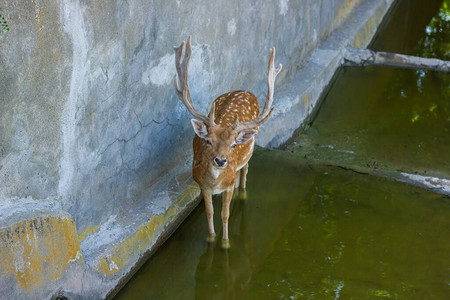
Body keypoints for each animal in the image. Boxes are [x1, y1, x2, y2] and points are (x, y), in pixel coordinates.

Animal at [173, 36, 282, 248]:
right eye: (207, 141)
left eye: (233, 144)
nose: (221, 160)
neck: (216, 182)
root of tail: (245, 90)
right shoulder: (202, 185)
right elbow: (209, 212)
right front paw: (210, 238)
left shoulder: (228, 185)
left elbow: (225, 214)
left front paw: (225, 243)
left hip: (250, 151)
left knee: (245, 170)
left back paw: (243, 193)